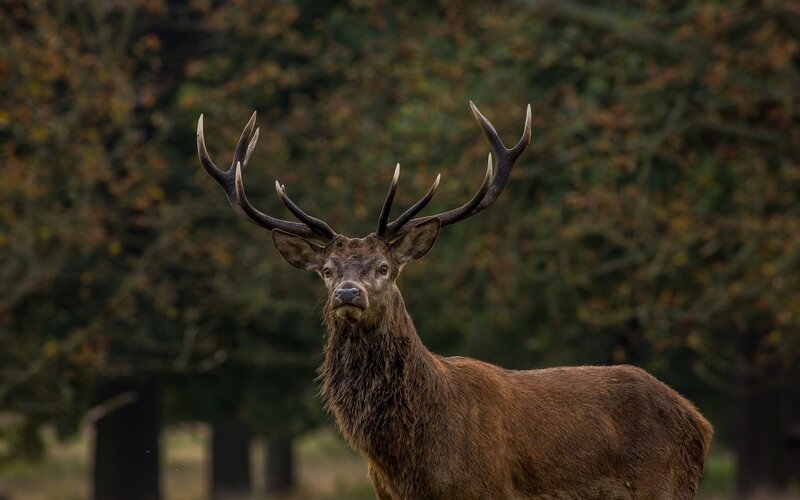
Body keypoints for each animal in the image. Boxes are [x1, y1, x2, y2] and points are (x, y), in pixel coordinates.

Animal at [197, 103, 713, 499]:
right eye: (327, 271)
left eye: (383, 268)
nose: (347, 293)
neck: (411, 458)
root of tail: (699, 422)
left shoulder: (488, 489)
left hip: (662, 487)